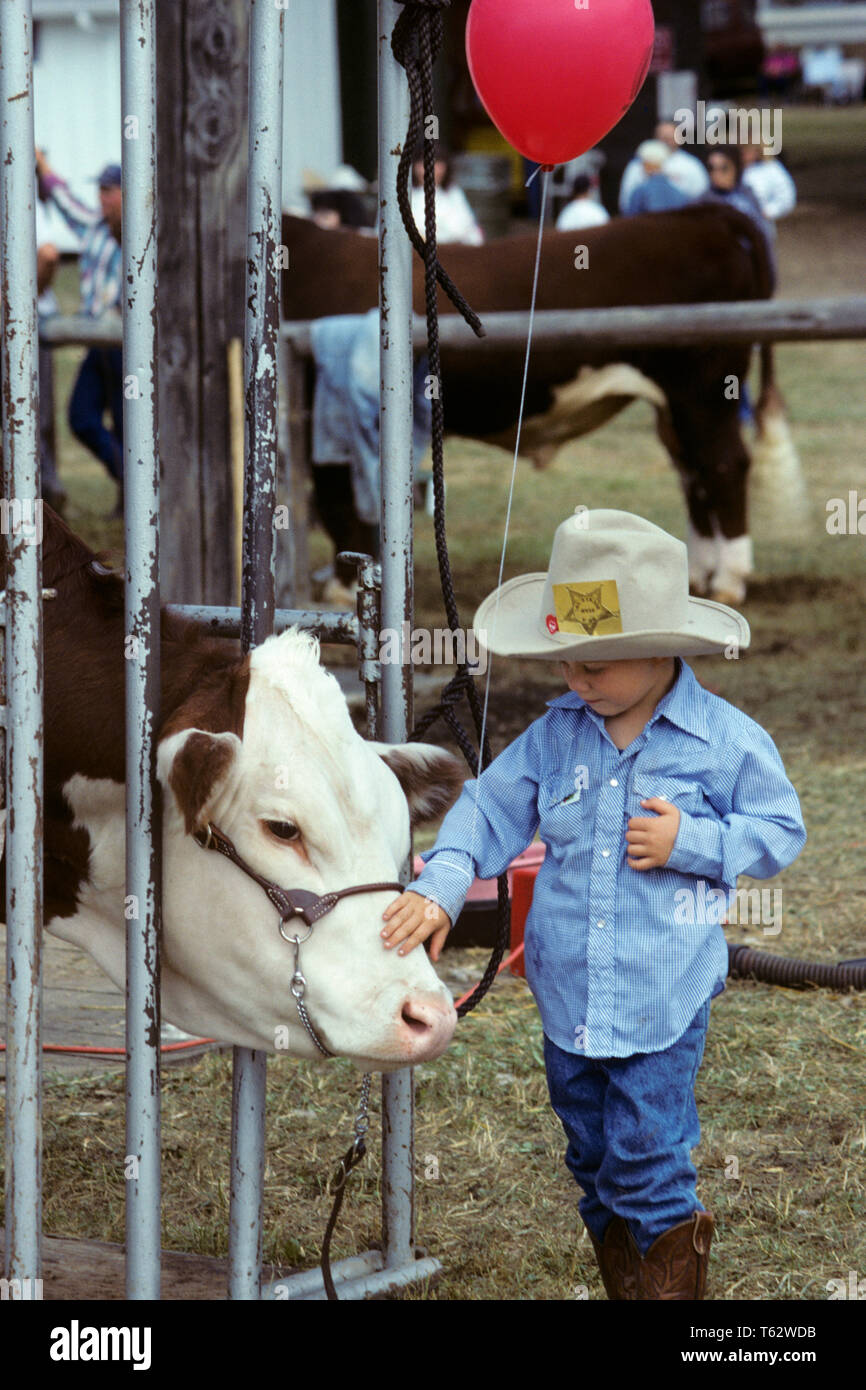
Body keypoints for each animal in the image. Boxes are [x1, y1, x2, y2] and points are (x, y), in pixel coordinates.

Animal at [283, 204, 800, 603]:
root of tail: (699, 214)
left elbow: (337, 502)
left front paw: (342, 588)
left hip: (705, 387)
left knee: (723, 464)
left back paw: (729, 579)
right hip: (676, 406)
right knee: (692, 472)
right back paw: (695, 575)